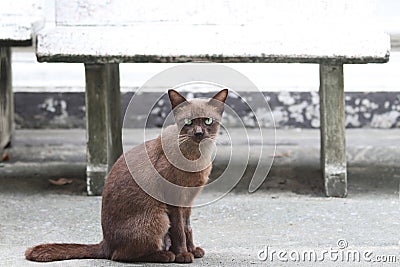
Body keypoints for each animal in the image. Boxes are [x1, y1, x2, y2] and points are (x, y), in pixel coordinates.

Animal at [25, 89, 228, 264]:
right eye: (188, 121)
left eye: (208, 121)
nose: (199, 133)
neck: (197, 157)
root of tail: (105, 242)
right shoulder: (174, 201)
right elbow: (179, 231)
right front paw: (184, 255)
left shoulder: (188, 201)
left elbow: (188, 228)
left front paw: (193, 250)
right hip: (160, 218)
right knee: (119, 256)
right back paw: (166, 255)